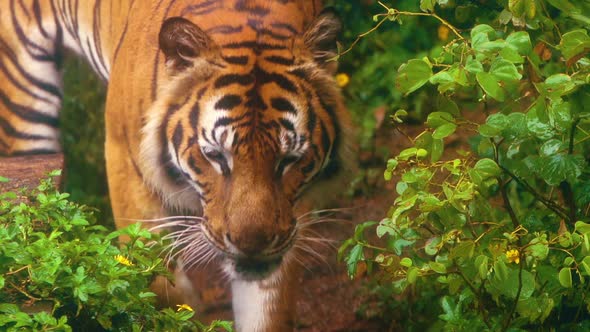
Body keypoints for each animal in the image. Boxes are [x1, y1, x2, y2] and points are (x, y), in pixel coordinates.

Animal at [0, 1, 352, 330]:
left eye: (289, 159)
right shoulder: (126, 166)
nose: (251, 246)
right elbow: (156, 280)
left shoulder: (291, 220)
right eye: (215, 155)